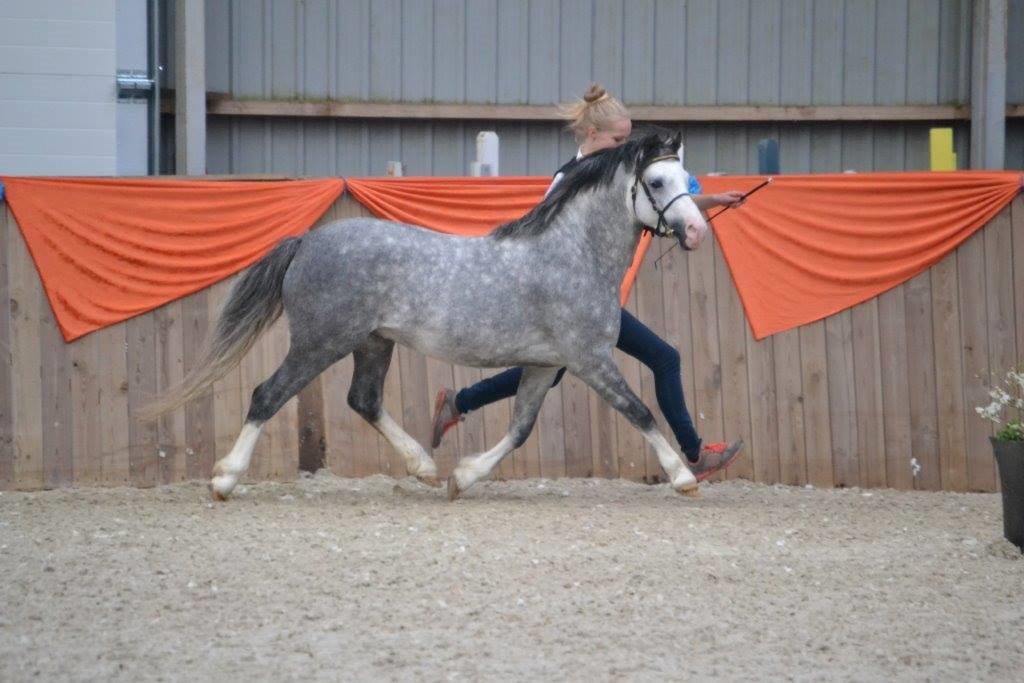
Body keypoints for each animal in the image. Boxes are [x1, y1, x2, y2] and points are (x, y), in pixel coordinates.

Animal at [141, 132, 710, 501]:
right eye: (657, 181)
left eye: (686, 177)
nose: (696, 232)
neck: (572, 255)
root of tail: (306, 241)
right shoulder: (590, 359)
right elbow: (639, 410)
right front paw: (683, 477)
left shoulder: (546, 364)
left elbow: (520, 428)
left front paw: (463, 478)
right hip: (320, 342)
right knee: (267, 395)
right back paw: (223, 480)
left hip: (373, 341)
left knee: (364, 400)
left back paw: (425, 467)